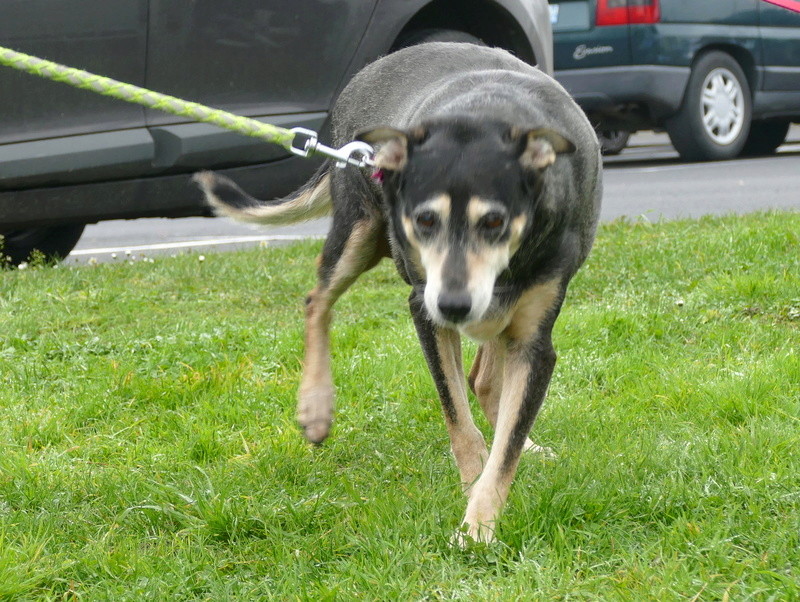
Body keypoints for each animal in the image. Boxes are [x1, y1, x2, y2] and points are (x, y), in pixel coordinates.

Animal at [197, 41, 604, 540]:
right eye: (425, 219)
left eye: (494, 222)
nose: (454, 305)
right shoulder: (426, 310)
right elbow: (458, 419)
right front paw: (472, 497)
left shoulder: (532, 341)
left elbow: (504, 445)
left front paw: (479, 526)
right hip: (358, 232)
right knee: (317, 301)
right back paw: (316, 405)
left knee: (486, 380)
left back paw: (525, 443)